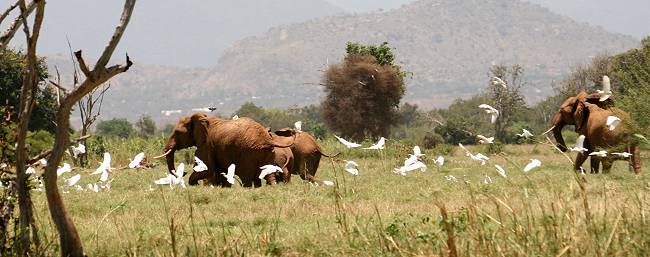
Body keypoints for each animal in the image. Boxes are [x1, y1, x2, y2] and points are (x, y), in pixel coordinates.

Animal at [154, 113, 292, 187]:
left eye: (177, 132)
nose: (184, 172)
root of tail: (267, 139)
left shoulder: (206, 144)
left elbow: (207, 168)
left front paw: (195, 184)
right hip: (268, 152)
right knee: (266, 174)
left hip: (249, 152)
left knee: (247, 177)